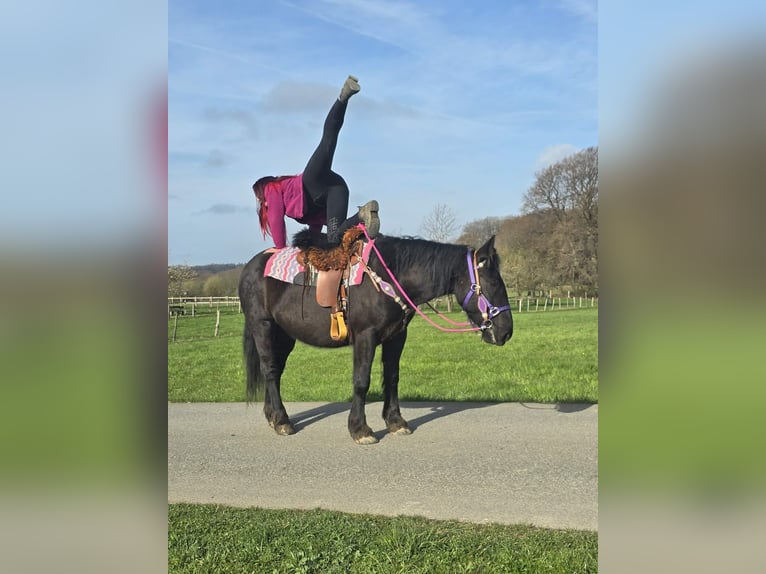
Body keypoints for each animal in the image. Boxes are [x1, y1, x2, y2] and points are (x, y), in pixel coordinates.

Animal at [238, 232, 513, 444]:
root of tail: (250, 266)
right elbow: (362, 381)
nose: (506, 332)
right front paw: (360, 429)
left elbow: (392, 378)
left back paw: (272, 416)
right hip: (263, 327)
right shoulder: (365, 337)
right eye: (493, 284)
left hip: (284, 335)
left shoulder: (397, 337)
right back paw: (282, 420)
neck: (390, 277)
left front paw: (396, 421)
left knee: (274, 372)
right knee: (270, 369)